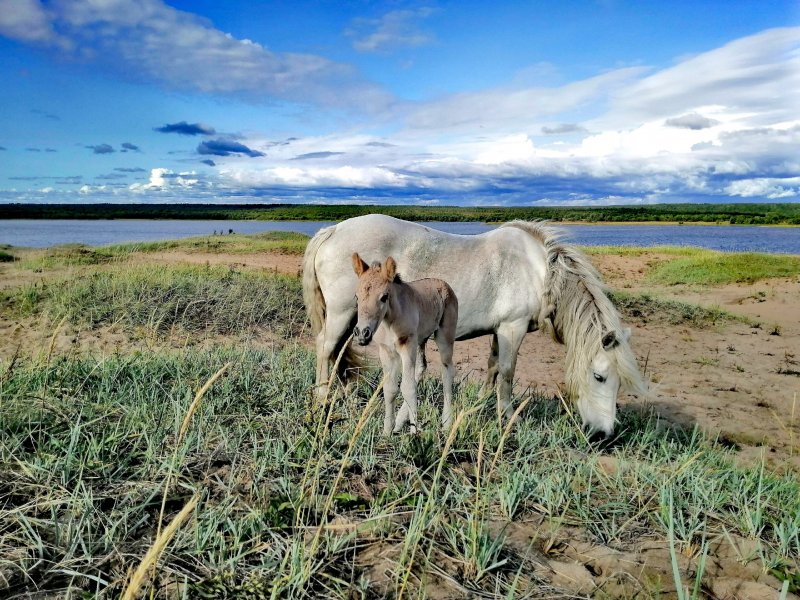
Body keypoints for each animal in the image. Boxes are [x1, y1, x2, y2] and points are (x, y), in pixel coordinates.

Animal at [354, 253, 460, 436]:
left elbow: (408, 388)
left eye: (384, 297)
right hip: (420, 340)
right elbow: (390, 389)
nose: (362, 333)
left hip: (443, 336)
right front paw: (387, 432)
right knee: (421, 367)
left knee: (447, 370)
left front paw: (414, 434)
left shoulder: (406, 345)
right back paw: (399, 422)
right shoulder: (386, 351)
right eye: (357, 297)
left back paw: (447, 423)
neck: (389, 322)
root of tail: (444, 284)